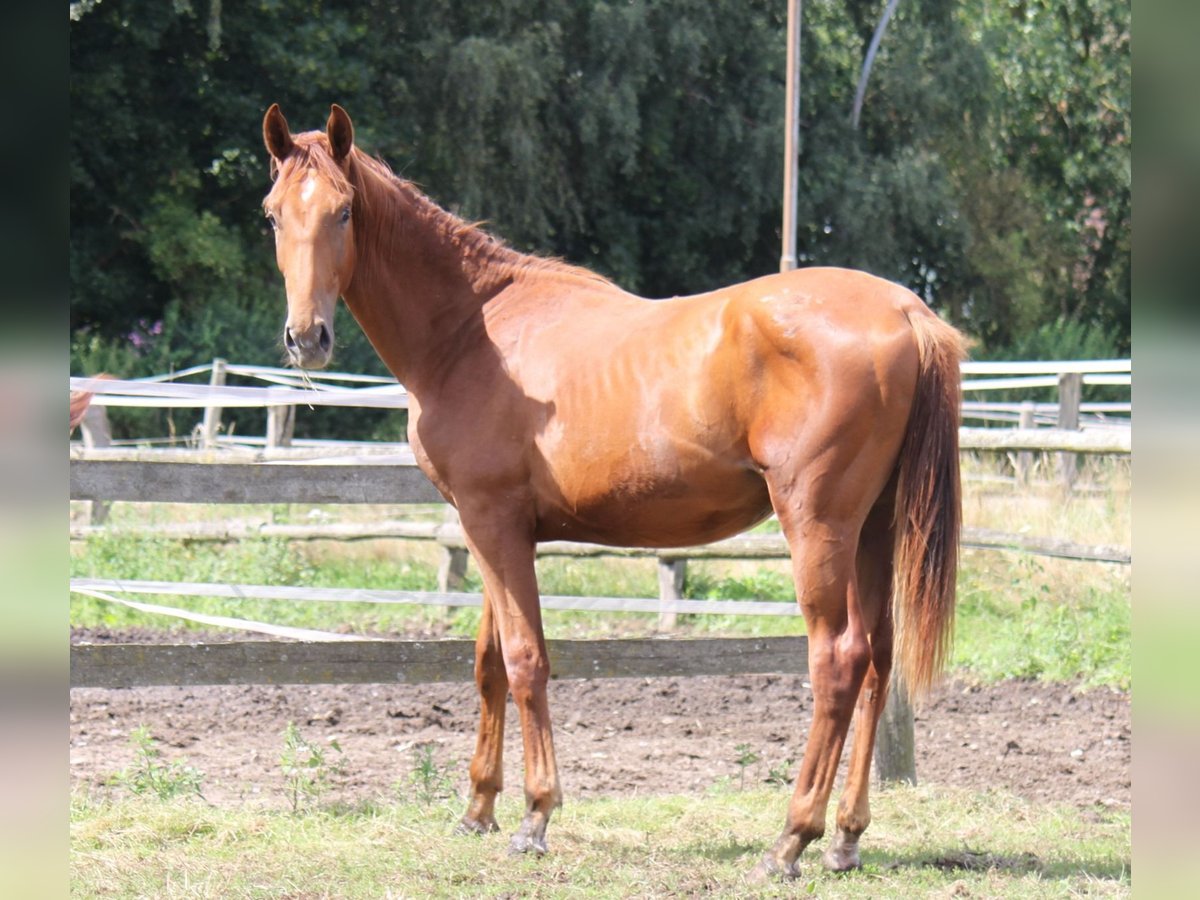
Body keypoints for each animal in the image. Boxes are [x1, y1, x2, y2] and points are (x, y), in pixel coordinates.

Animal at [262, 105, 964, 883]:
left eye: (344, 211)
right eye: (273, 215)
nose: (306, 337)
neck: (474, 332)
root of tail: (905, 311)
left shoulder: (493, 525)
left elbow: (526, 661)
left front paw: (535, 815)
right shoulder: (490, 528)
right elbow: (489, 664)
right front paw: (477, 808)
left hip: (817, 527)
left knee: (837, 662)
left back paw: (791, 839)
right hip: (873, 529)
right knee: (878, 660)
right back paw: (845, 837)